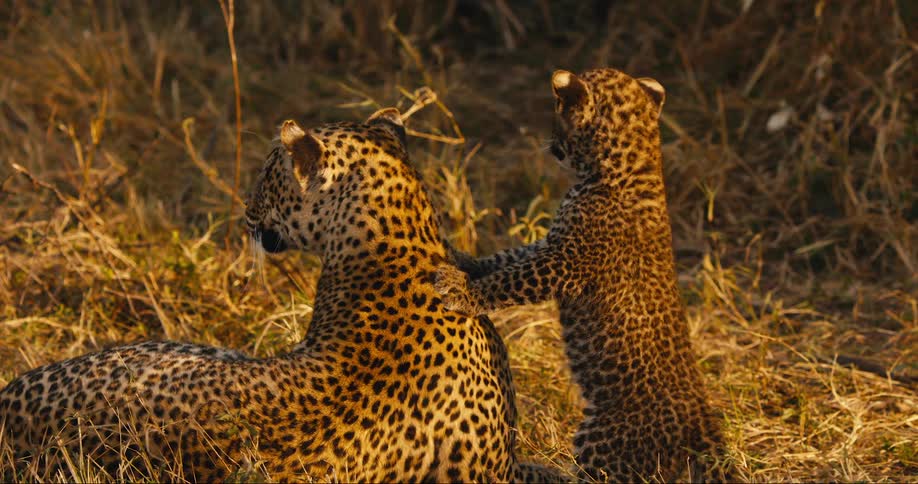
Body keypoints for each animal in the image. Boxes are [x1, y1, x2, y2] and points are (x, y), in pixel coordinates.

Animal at [435, 68, 734, 482]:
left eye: (558, 113)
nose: (549, 143)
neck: (629, 166)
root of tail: (704, 432)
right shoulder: (552, 243)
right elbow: (507, 257)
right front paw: (465, 261)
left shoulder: (565, 263)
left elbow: (511, 280)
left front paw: (463, 291)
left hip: (602, 439)